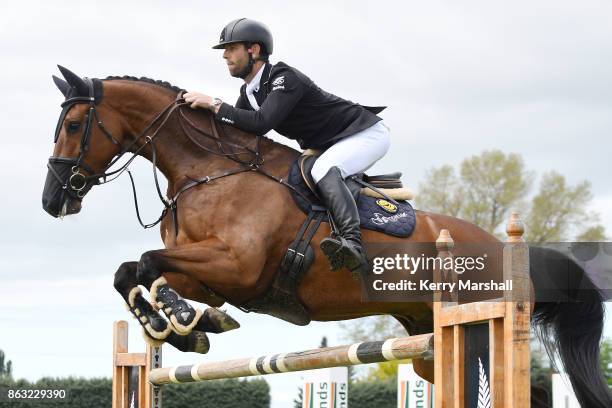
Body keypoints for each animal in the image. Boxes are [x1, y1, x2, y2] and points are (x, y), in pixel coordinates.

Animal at [40, 66, 608, 408]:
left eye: (73, 125)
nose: (52, 201)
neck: (208, 170)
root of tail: (504, 247)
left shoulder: (236, 265)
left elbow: (145, 261)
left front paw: (177, 319)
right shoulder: (213, 276)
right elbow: (133, 272)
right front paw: (185, 327)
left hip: (471, 326)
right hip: (427, 346)